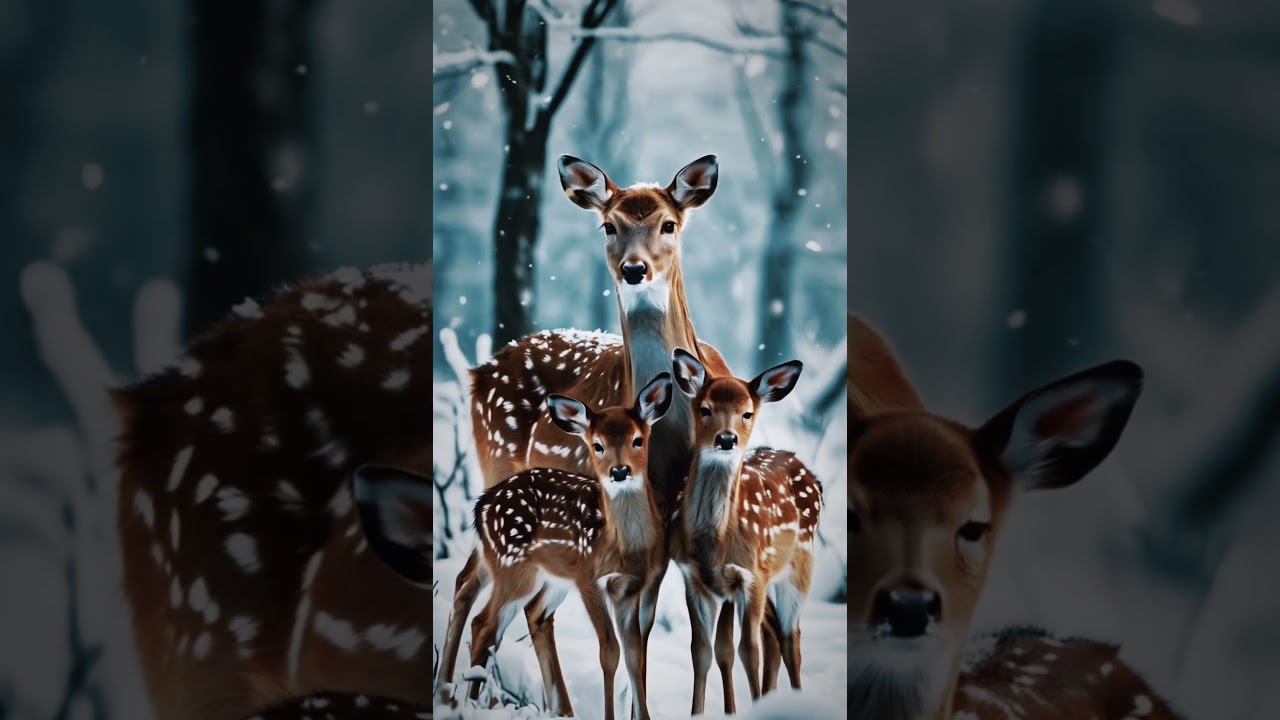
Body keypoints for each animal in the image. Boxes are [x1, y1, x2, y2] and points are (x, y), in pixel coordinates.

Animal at [427, 373, 674, 720]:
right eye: (597, 445)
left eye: (637, 440)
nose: (619, 471)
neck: (623, 546)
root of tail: (481, 506)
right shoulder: (588, 578)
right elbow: (609, 651)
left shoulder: (629, 588)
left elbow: (634, 657)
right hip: (515, 568)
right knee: (484, 624)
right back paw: (471, 702)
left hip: (543, 575)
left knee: (506, 607)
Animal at [666, 347, 822, 715]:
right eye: (705, 408)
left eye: (747, 413)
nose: (727, 438)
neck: (716, 541)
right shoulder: (694, 578)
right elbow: (702, 651)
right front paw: (697, 713)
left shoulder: (752, 577)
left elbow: (747, 651)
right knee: (774, 635)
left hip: (799, 568)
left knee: (789, 637)